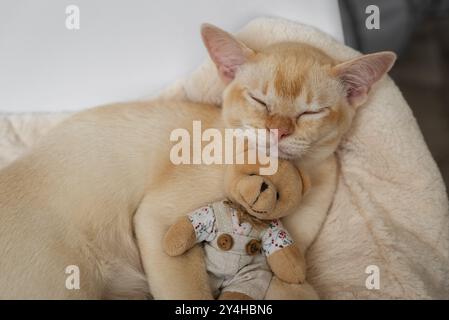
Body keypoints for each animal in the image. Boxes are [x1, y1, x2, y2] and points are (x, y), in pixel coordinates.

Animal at [0, 23, 392, 298]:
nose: (278, 130)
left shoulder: (284, 255)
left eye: (311, 112)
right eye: (259, 101)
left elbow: (291, 284)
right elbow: (189, 289)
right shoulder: (158, 219)